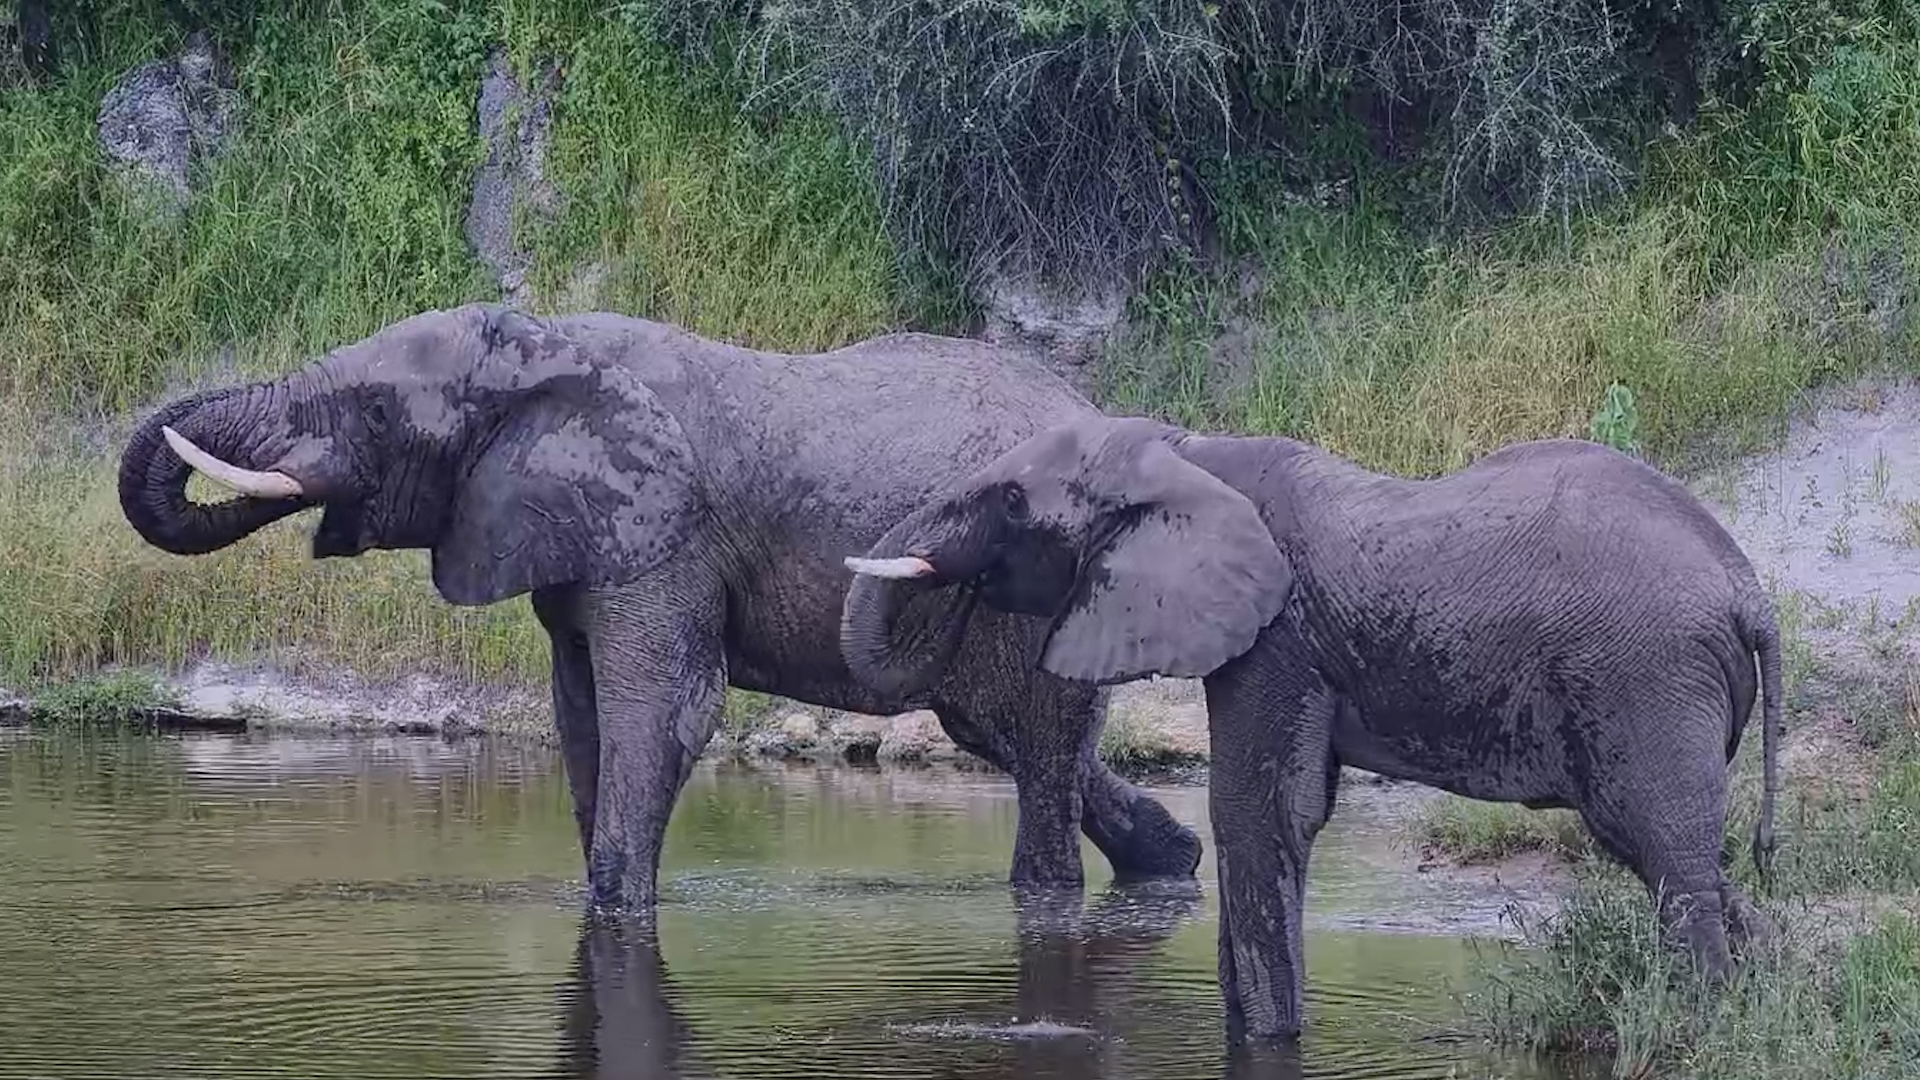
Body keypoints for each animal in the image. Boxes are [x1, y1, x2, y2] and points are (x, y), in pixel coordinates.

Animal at [115, 303, 1204, 917]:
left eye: (379, 414)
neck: (549, 346)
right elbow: (583, 716)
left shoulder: (663, 531)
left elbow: (664, 707)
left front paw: (619, 907)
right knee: (1003, 732)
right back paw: (1174, 865)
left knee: (1036, 743)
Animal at [841, 415, 1784, 1043]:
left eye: (1010, 501)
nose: (957, 593)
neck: (1185, 452)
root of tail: (1750, 592)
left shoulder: (1278, 638)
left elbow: (1260, 816)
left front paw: (1269, 1039)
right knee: (1669, 853)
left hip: (1646, 676)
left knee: (1668, 855)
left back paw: (1700, 1024)